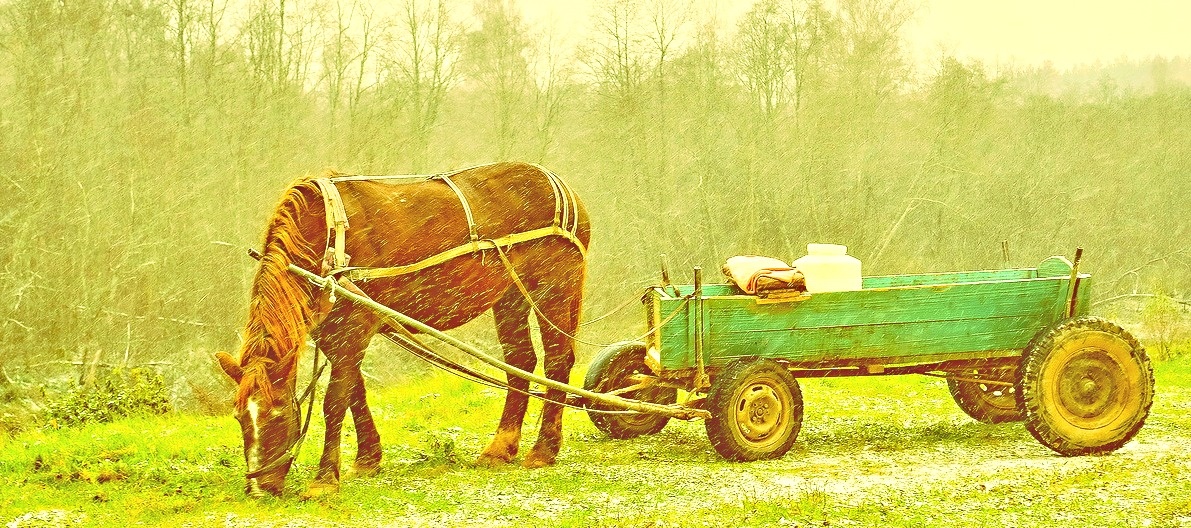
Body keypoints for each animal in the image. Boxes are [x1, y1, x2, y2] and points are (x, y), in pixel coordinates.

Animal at [214, 163, 590, 498]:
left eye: (277, 415)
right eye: (240, 418)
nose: (258, 490)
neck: (327, 235)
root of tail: (562, 186)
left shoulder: (354, 324)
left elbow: (335, 401)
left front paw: (324, 480)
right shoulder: (333, 330)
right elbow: (355, 391)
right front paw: (368, 459)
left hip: (553, 286)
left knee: (557, 361)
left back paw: (543, 450)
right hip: (510, 295)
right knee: (520, 363)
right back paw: (500, 447)